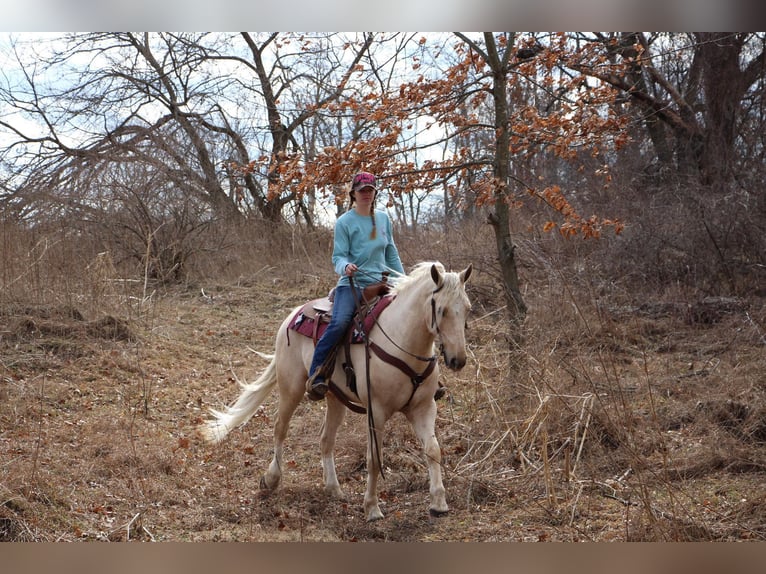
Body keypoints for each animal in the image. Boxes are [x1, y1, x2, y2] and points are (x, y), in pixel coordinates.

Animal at [201, 264, 472, 524]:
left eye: (467, 309)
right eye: (442, 310)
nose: (458, 360)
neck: (402, 340)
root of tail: (292, 314)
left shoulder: (424, 408)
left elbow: (433, 450)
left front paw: (439, 503)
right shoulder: (376, 412)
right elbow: (374, 459)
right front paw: (372, 508)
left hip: (335, 398)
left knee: (326, 439)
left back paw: (333, 488)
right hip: (291, 388)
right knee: (280, 428)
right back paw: (271, 478)